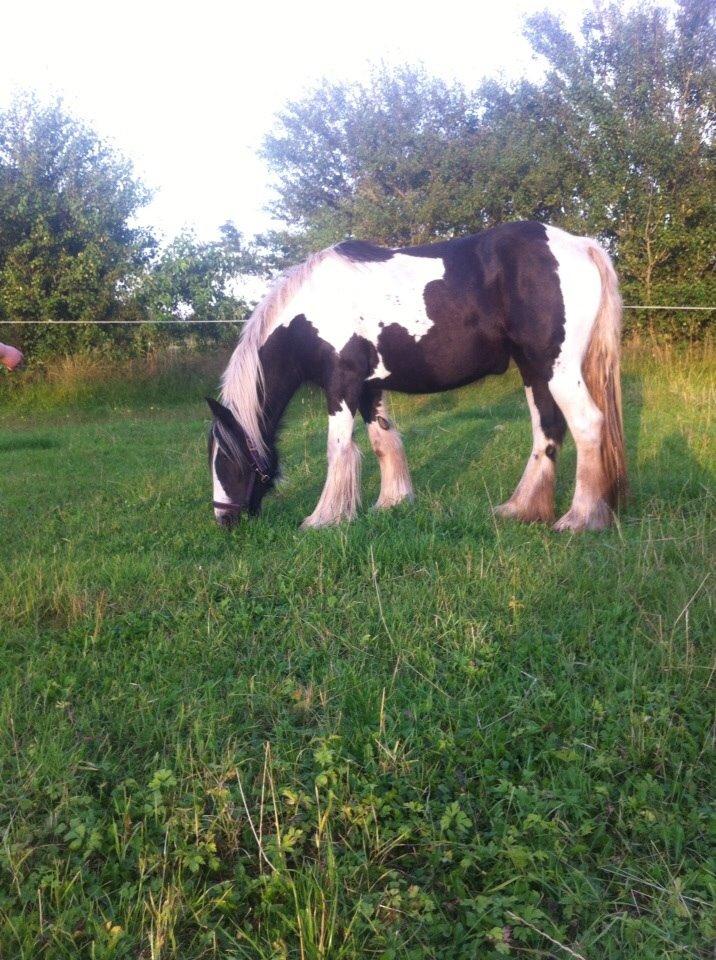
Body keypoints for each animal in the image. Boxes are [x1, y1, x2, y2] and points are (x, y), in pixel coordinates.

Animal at [207, 218, 628, 532]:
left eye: (226, 460)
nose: (224, 520)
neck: (310, 310)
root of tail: (582, 245)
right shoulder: (369, 388)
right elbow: (383, 442)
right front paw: (391, 503)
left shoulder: (341, 384)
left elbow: (338, 448)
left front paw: (324, 518)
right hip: (534, 368)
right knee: (547, 429)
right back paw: (521, 509)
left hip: (557, 367)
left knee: (588, 425)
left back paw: (580, 519)